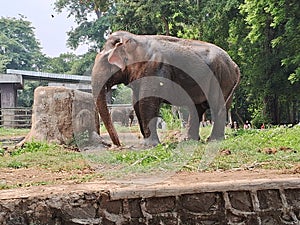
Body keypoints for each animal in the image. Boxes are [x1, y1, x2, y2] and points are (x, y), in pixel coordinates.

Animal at [92, 30, 241, 147]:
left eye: (107, 62)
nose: (117, 145)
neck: (135, 38)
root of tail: (235, 65)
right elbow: (137, 102)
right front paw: (146, 144)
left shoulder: (154, 67)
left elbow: (147, 102)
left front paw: (150, 145)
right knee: (198, 108)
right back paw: (188, 140)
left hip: (222, 77)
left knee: (216, 106)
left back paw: (213, 140)